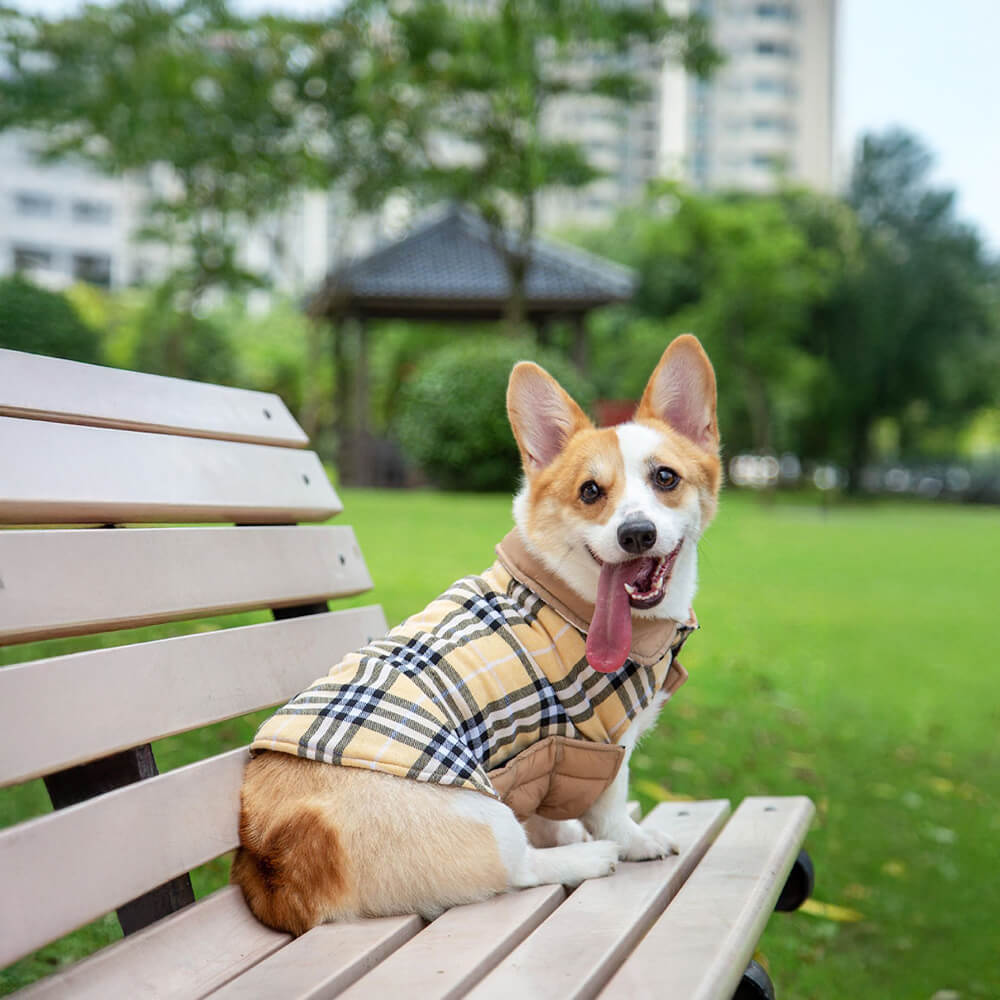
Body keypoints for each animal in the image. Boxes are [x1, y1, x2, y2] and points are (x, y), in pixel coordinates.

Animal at [234, 332, 720, 932]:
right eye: (590, 492)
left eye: (665, 478)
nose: (636, 534)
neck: (569, 592)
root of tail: (278, 868)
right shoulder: (602, 746)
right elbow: (608, 808)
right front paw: (631, 841)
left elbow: (553, 814)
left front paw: (566, 830)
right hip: (484, 809)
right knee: (519, 867)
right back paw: (588, 858)